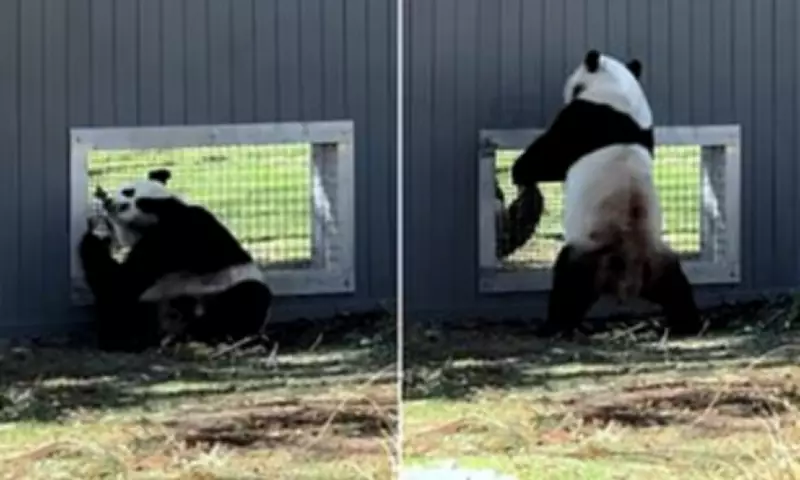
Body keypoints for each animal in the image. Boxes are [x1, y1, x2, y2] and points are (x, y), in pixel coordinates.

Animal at [79, 168, 274, 351]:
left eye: (142, 203)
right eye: (128, 191)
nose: (115, 205)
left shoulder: (172, 238)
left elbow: (123, 281)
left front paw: (95, 237)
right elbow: (116, 290)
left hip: (225, 288)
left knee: (248, 299)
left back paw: (212, 335)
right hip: (155, 301)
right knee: (125, 314)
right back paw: (127, 340)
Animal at [508, 49, 704, 339]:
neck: (618, 93)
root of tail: (628, 277)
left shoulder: (584, 119)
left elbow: (551, 157)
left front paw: (519, 171)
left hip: (589, 254)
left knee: (568, 286)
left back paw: (554, 326)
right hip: (659, 261)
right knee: (676, 289)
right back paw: (688, 323)